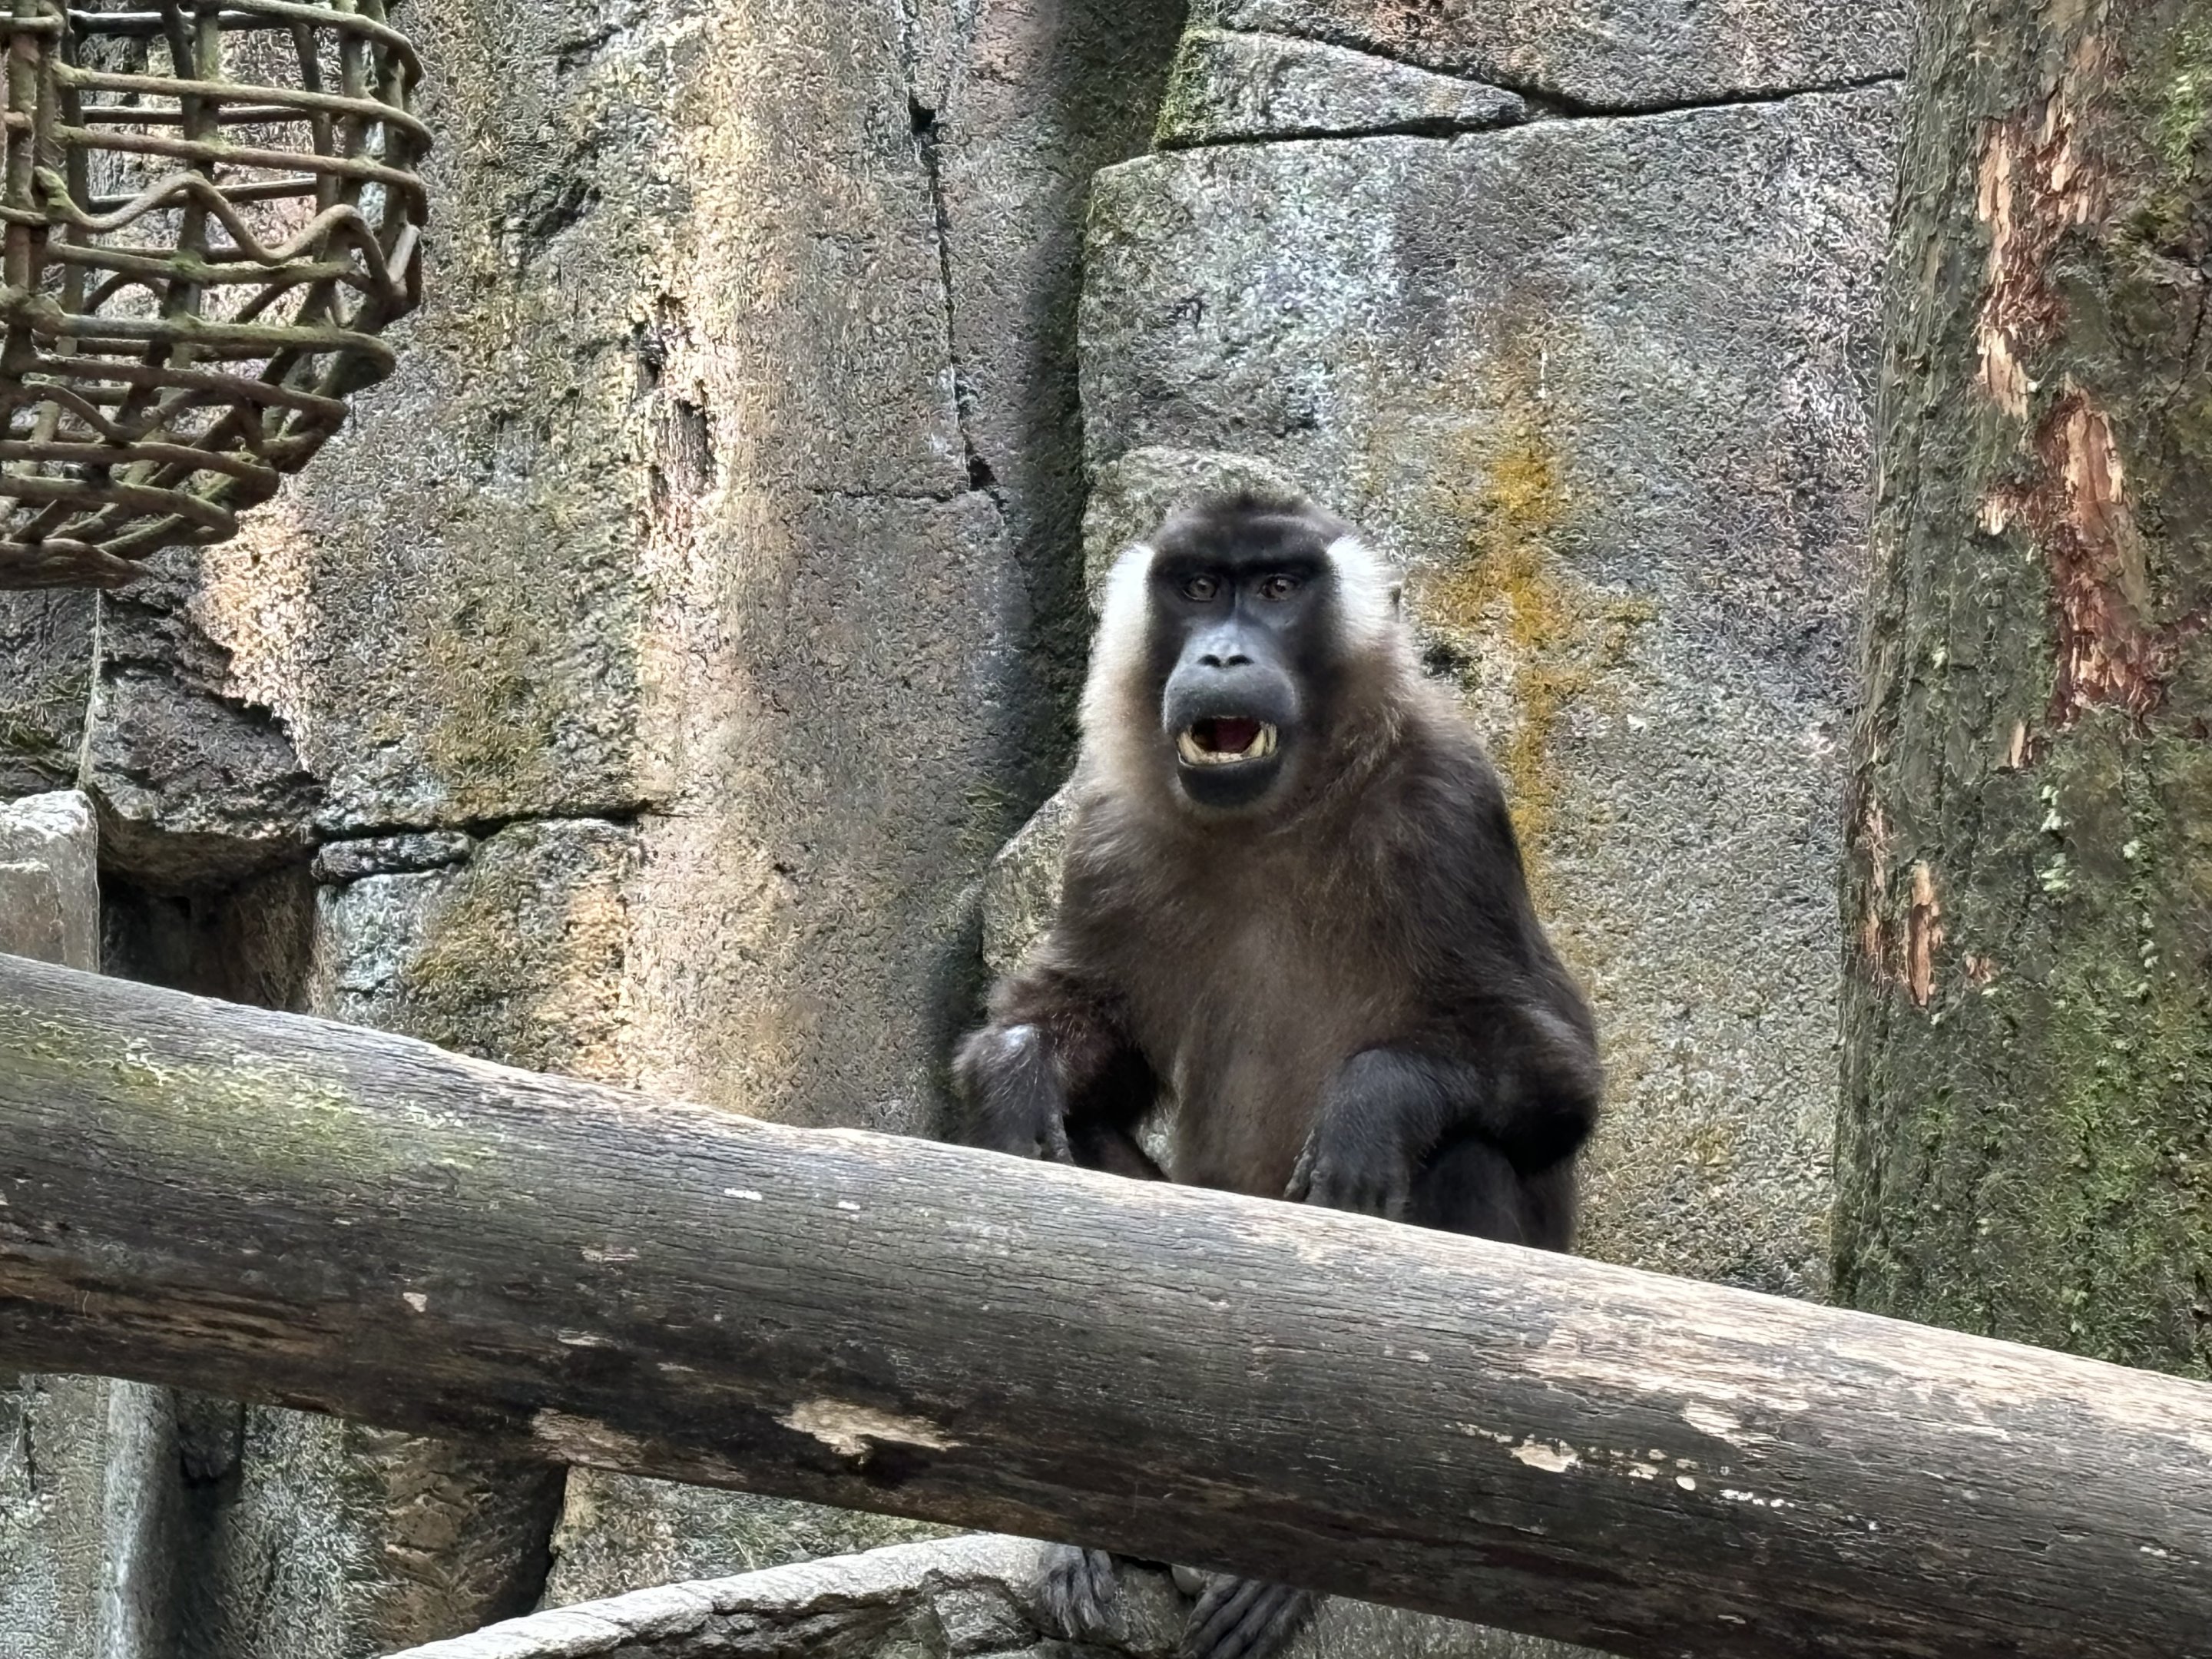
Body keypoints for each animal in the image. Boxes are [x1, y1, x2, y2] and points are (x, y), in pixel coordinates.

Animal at [952, 489, 1602, 1659]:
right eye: (1202, 586)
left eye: (1280, 588)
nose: (1220, 652)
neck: (1279, 813)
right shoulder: (1109, 831)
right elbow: (1082, 1054)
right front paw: (1013, 1076)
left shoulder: (1452, 806)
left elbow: (1560, 1083)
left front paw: (1372, 1105)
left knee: (1465, 1155)